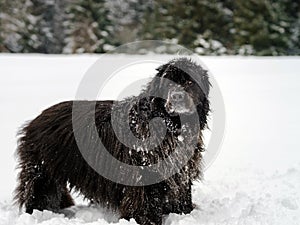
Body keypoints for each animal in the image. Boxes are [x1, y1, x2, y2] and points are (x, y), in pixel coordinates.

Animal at [14, 58, 211, 225]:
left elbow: (181, 198)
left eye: (190, 82)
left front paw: (184, 214)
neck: (168, 125)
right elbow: (145, 206)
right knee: (39, 193)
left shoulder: (181, 174)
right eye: (168, 82)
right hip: (42, 169)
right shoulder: (143, 176)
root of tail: (36, 119)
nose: (177, 97)